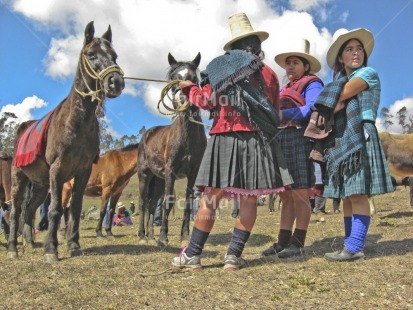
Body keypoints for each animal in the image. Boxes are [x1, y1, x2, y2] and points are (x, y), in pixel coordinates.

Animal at [7, 20, 124, 262]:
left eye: (114, 56)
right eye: (91, 54)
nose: (115, 82)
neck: (76, 122)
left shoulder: (83, 171)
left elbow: (75, 208)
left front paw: (73, 245)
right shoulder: (57, 170)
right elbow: (55, 209)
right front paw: (51, 249)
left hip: (40, 184)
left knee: (29, 211)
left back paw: (29, 243)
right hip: (19, 179)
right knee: (15, 211)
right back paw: (13, 247)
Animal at [138, 54, 208, 247]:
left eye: (194, 78)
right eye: (173, 78)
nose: (183, 101)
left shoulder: (192, 173)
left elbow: (188, 203)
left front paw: (185, 235)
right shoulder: (171, 172)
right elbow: (167, 203)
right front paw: (164, 237)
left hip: (158, 181)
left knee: (152, 205)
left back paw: (150, 235)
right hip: (145, 176)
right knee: (143, 204)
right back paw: (142, 235)